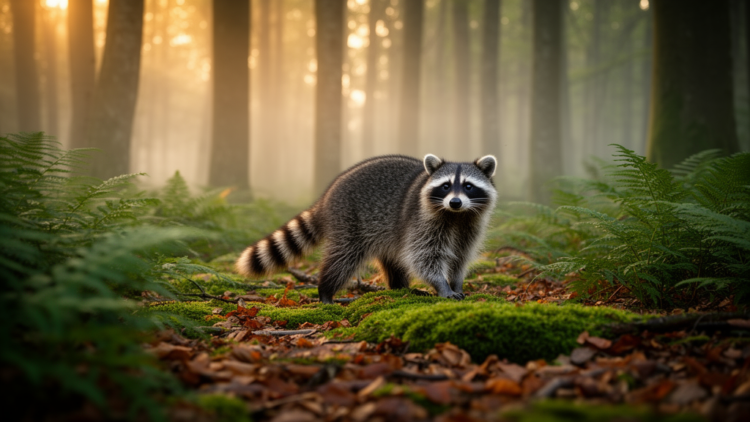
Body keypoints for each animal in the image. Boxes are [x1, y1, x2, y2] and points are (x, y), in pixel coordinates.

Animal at [235, 154, 498, 304]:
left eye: (468, 186)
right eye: (445, 186)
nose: (455, 202)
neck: (456, 216)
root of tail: (327, 196)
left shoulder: (469, 226)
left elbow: (460, 257)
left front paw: (456, 282)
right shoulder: (422, 221)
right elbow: (425, 257)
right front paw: (442, 286)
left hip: (384, 231)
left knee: (393, 261)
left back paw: (400, 288)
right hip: (349, 221)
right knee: (343, 258)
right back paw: (326, 291)